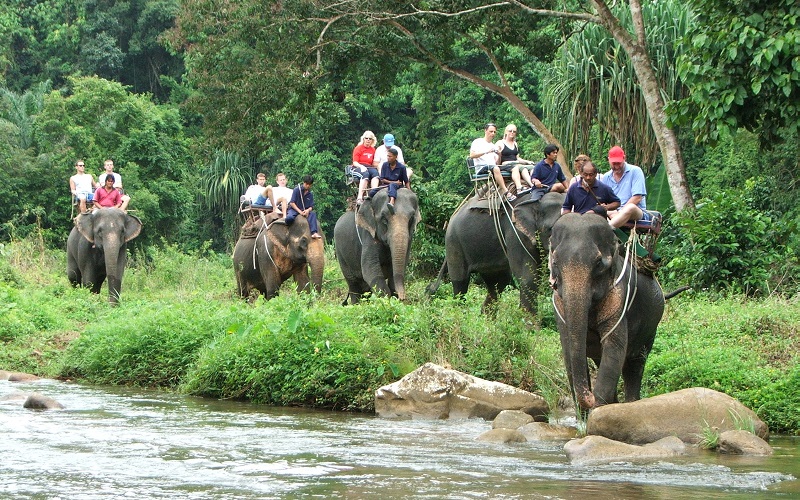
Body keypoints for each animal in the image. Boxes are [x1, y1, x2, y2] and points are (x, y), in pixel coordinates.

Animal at [432, 191, 564, 312]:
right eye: (550, 229)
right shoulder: (515, 233)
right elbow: (528, 277)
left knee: (497, 282)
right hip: (453, 242)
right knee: (460, 282)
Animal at [548, 213, 664, 412]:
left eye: (598, 263)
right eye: (555, 262)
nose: (590, 395)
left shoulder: (619, 295)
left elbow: (614, 348)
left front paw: (598, 407)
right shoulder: (559, 304)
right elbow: (568, 351)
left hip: (651, 327)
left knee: (635, 364)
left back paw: (630, 403)